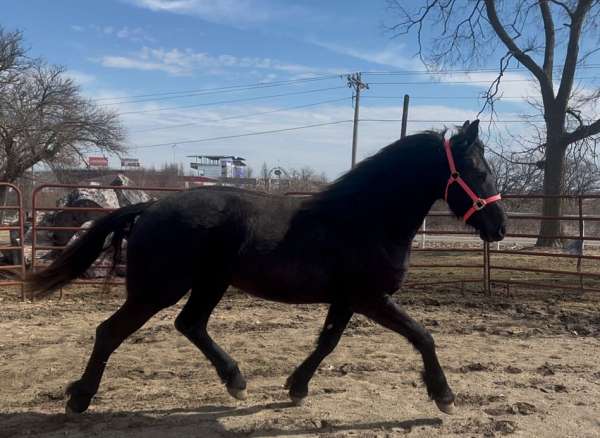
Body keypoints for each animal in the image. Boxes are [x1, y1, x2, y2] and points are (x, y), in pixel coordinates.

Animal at [28, 120, 506, 414]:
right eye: (478, 171)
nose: (499, 227)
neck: (365, 219)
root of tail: (149, 208)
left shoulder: (347, 299)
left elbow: (327, 343)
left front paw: (296, 388)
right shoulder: (371, 298)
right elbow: (423, 336)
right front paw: (444, 396)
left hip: (210, 283)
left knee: (190, 325)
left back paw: (236, 381)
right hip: (158, 289)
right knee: (110, 332)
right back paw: (79, 398)